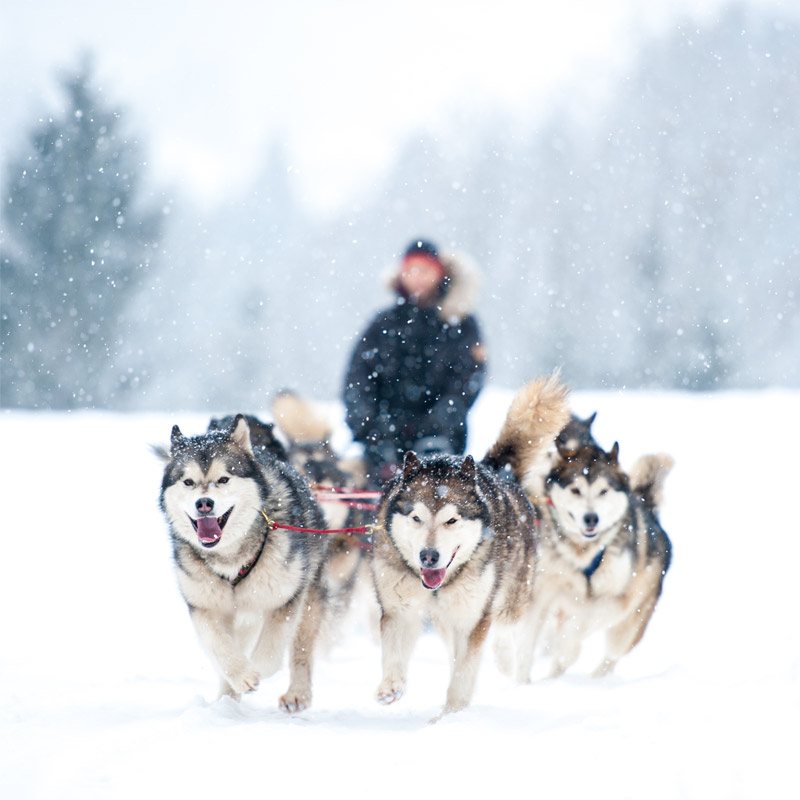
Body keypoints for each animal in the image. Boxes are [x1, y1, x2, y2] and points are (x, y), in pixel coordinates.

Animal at [159, 416, 332, 708]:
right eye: (188, 482)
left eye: (223, 479)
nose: (204, 503)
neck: (230, 558)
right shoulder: (204, 606)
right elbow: (220, 647)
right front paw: (241, 676)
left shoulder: (286, 599)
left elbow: (271, 653)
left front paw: (256, 670)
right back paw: (226, 700)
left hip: (308, 597)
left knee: (301, 648)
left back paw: (297, 693)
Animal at [372, 372, 572, 716]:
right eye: (416, 518)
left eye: (452, 520)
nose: (428, 556)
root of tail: (491, 469)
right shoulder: (399, 608)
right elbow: (396, 651)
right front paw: (391, 686)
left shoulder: (472, 617)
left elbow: (465, 671)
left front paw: (452, 713)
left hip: (510, 598)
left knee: (505, 630)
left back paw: (507, 662)